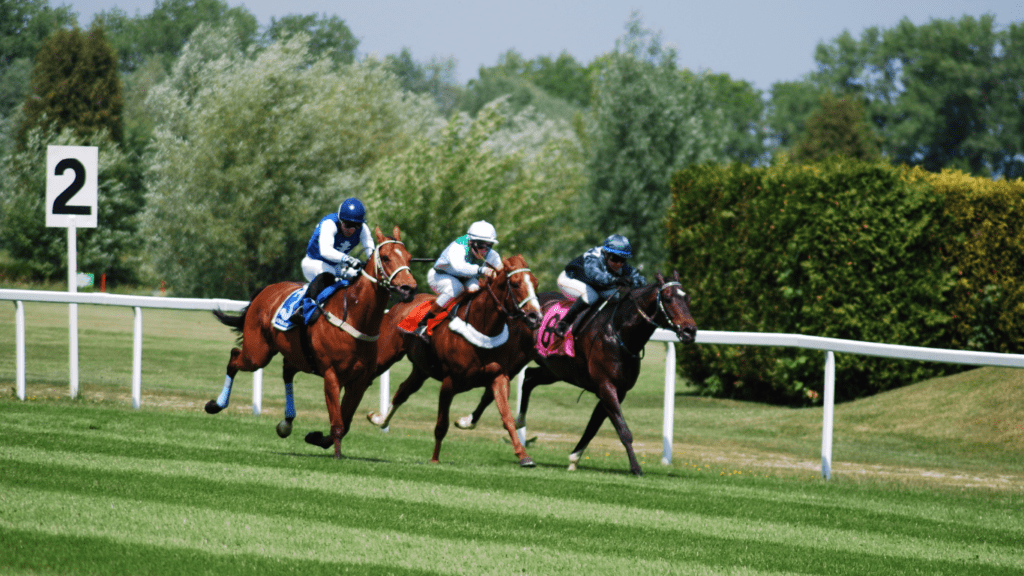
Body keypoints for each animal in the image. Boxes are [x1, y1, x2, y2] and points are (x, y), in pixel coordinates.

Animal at [205, 224, 417, 457]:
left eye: (408, 257)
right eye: (386, 257)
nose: (409, 288)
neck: (354, 315)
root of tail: (265, 291)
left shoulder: (360, 380)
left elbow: (345, 421)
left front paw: (318, 438)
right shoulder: (332, 375)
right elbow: (338, 423)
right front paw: (336, 455)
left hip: (296, 354)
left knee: (287, 371)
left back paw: (287, 422)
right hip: (257, 353)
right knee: (235, 357)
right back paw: (216, 405)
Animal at [366, 254, 544, 467]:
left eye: (535, 282)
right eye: (516, 284)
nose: (535, 317)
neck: (482, 328)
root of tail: (400, 304)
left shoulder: (499, 377)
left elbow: (507, 416)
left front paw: (524, 456)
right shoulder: (449, 382)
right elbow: (442, 424)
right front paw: (435, 458)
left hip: (421, 370)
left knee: (402, 392)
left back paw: (379, 420)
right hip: (385, 356)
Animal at [456, 270, 696, 473]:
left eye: (687, 299)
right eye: (668, 298)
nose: (690, 331)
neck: (619, 332)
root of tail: (521, 309)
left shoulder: (615, 391)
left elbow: (593, 427)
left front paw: (574, 459)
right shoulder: (606, 386)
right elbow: (623, 430)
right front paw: (636, 468)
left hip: (555, 369)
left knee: (530, 378)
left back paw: (519, 420)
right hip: (515, 358)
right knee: (493, 389)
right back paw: (468, 421)